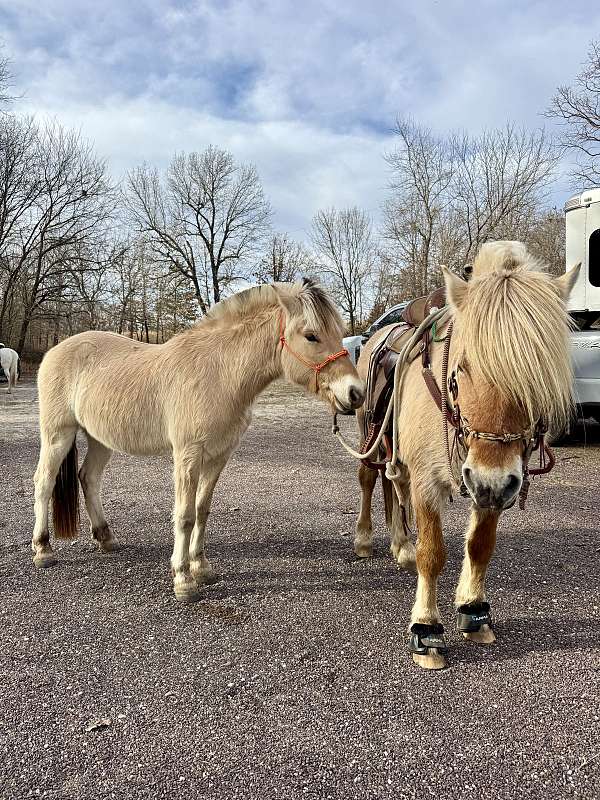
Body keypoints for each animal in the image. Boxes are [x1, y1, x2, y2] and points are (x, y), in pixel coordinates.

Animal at [32, 279, 366, 601]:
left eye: (339, 334)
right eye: (311, 336)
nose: (356, 393)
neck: (218, 374)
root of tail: (56, 350)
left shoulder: (218, 456)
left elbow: (202, 509)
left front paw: (201, 568)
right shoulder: (187, 455)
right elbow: (184, 515)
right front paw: (183, 580)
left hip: (100, 439)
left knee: (88, 478)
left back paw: (106, 538)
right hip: (57, 434)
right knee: (44, 481)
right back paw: (43, 550)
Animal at [352, 242, 579, 669]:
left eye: (538, 377)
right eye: (461, 369)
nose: (491, 481)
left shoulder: (493, 484)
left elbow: (479, 546)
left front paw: (473, 610)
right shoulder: (432, 481)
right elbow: (432, 553)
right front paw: (426, 629)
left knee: (395, 486)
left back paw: (400, 544)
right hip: (368, 433)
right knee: (370, 480)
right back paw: (365, 539)